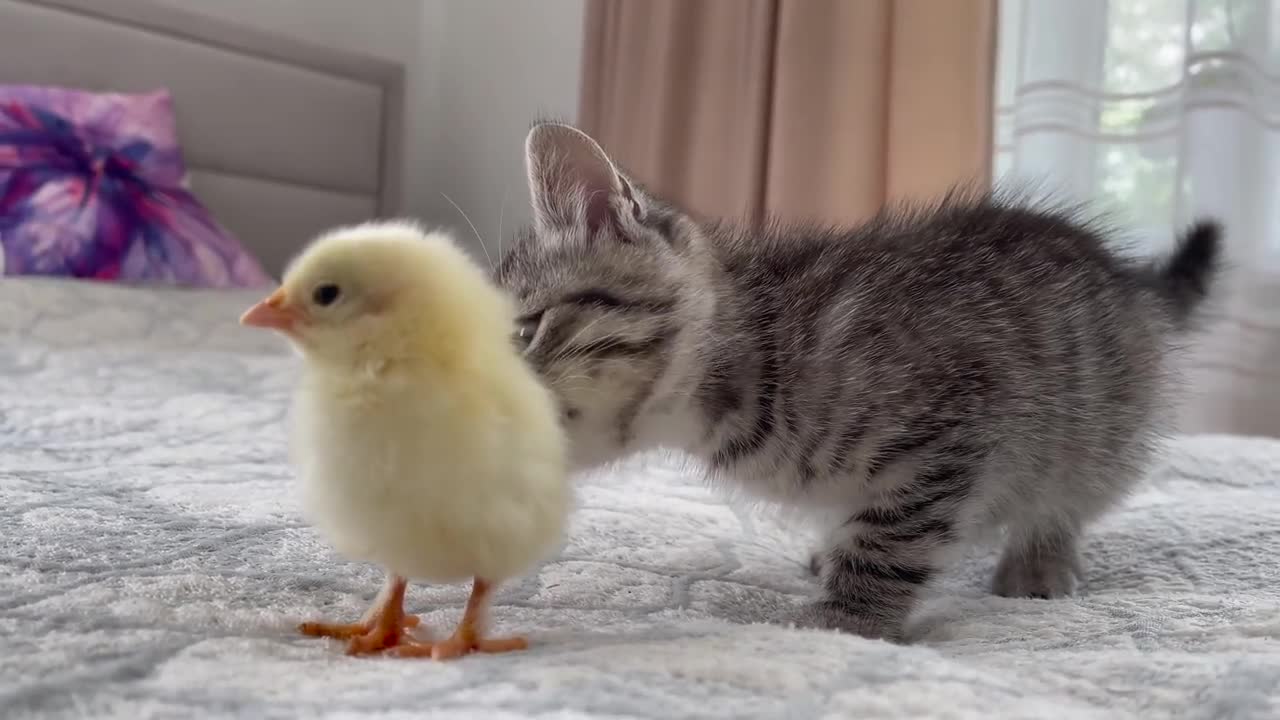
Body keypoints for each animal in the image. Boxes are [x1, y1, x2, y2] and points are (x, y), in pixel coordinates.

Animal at [488, 122, 1218, 638]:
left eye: (524, 332)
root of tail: (1131, 278)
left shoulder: (955, 420)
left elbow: (893, 537)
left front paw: (847, 618)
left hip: (1099, 424)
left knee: (1070, 493)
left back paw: (1040, 559)